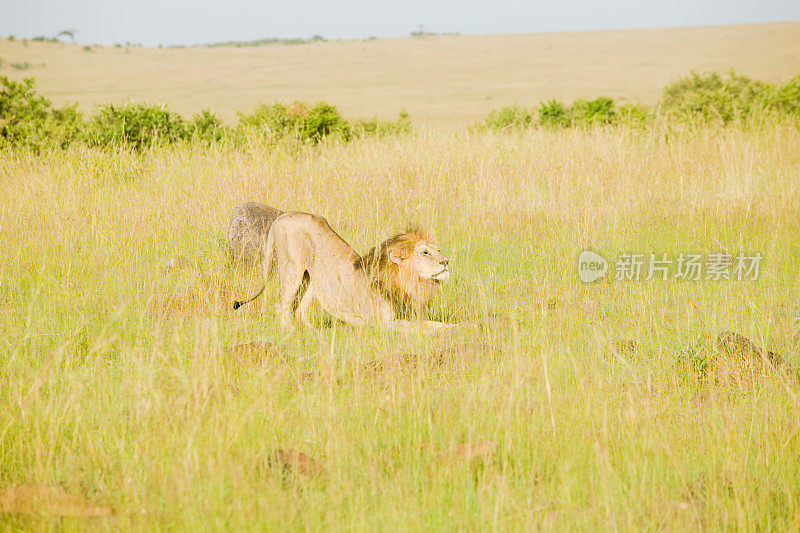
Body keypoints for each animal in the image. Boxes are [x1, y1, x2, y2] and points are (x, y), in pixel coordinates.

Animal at [233, 212, 456, 332]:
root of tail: (283, 216)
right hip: (292, 269)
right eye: (425, 253)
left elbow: (436, 324)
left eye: (438, 250)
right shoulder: (384, 323)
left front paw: (462, 327)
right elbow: (425, 329)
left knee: (299, 310)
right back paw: (291, 333)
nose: (446, 261)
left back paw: (315, 334)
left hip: (312, 279)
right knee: (282, 306)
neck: (408, 282)